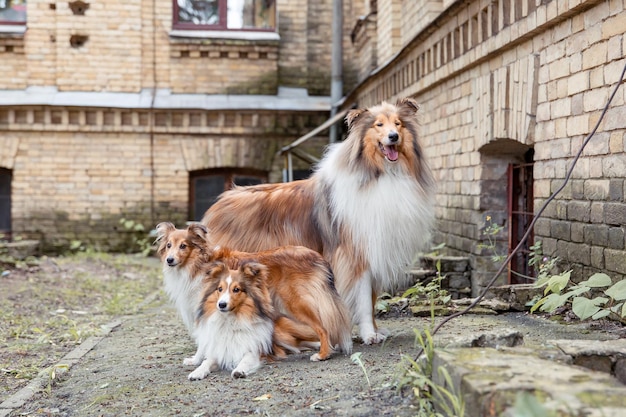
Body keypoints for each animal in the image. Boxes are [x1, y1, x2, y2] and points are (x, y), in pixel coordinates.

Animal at [155, 221, 352, 360]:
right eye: (168, 245)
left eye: (183, 245)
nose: (169, 260)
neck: (198, 264)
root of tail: (316, 256)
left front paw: (197, 359)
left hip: (297, 303)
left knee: (323, 327)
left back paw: (323, 354)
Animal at [186, 262, 314, 378]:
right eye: (220, 289)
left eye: (236, 289)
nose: (221, 304)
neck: (230, 321)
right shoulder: (220, 351)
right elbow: (206, 362)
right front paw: (197, 372)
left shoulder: (254, 350)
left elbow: (246, 360)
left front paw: (239, 370)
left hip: (284, 335)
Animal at [204, 96, 434, 342]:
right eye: (378, 125)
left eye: (398, 124)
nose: (393, 137)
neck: (381, 174)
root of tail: (220, 201)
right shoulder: (355, 256)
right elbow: (363, 299)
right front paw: (369, 334)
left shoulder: (375, 252)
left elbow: (372, 300)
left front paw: (376, 330)